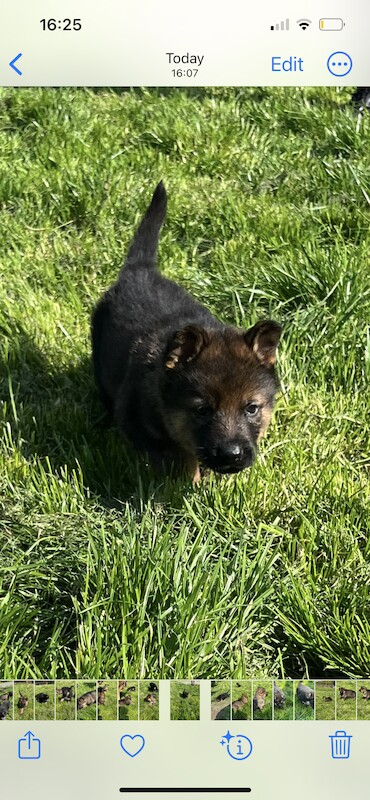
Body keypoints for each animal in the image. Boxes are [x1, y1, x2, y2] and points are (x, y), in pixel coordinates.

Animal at [92, 181, 280, 482]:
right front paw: (192, 482)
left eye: (251, 408)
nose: (233, 455)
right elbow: (182, 459)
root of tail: (140, 270)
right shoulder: (143, 429)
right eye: (202, 410)